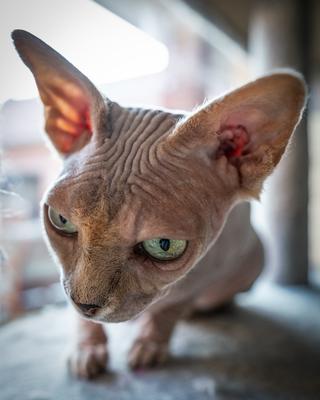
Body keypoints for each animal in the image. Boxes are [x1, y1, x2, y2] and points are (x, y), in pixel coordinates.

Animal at [12, 29, 306, 380]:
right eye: (61, 220)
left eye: (164, 245)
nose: (85, 304)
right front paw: (87, 347)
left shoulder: (209, 267)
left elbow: (169, 308)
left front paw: (150, 343)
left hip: (255, 255)